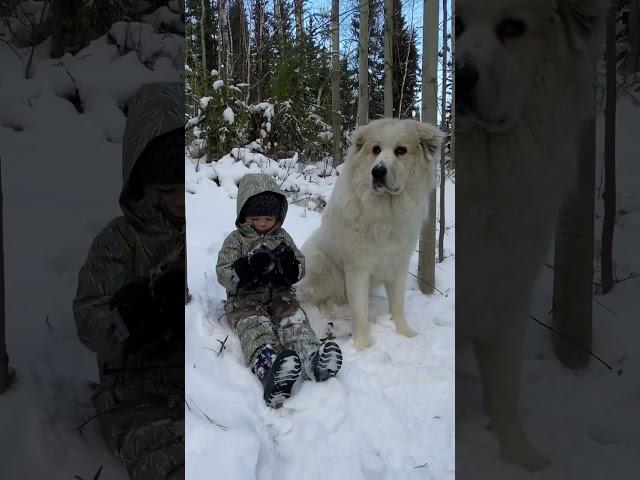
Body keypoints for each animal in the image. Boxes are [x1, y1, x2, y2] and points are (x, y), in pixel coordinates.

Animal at [298, 116, 442, 348]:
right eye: (376, 150)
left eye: (401, 150)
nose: (378, 171)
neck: (386, 212)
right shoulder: (358, 268)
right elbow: (360, 311)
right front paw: (362, 345)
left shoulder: (398, 264)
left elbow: (397, 304)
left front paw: (404, 331)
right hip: (322, 270)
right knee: (316, 300)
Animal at [458, 0, 604, 470]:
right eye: (457, 25)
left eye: (512, 27)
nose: (461, 75)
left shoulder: (507, 289)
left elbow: (505, 388)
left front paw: (521, 459)